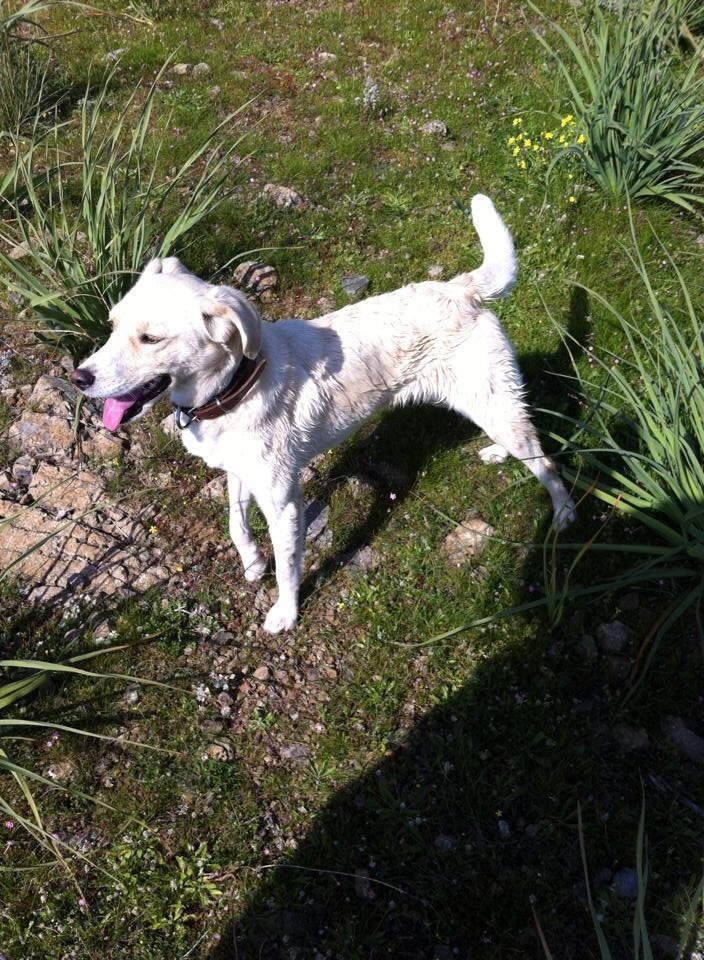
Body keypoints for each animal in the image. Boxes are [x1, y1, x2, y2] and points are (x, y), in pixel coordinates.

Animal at [72, 194, 575, 633]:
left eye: (151, 339)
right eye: (112, 326)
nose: (79, 378)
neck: (233, 384)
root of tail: (460, 288)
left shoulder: (283, 503)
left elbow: (288, 568)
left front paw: (286, 613)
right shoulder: (240, 473)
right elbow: (236, 524)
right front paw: (253, 561)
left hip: (494, 401)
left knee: (546, 462)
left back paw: (564, 515)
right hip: (488, 403)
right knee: (524, 444)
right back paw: (498, 454)